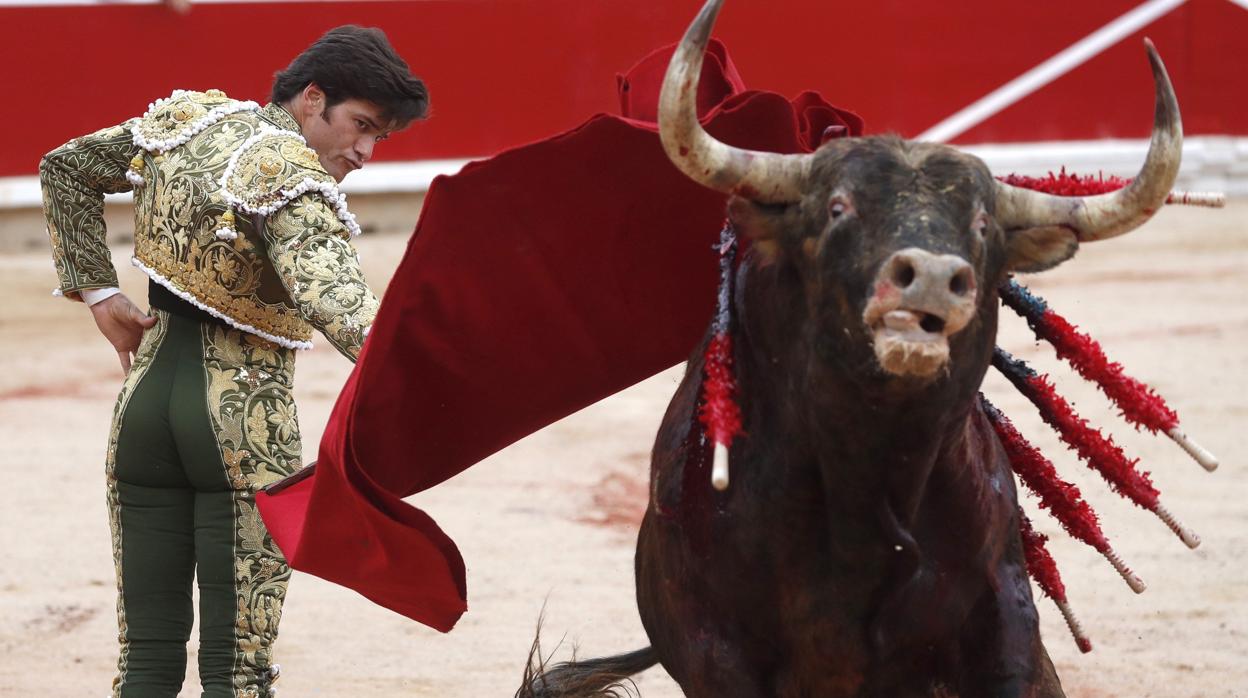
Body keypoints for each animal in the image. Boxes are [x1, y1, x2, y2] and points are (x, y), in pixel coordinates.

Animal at [519, 0, 1188, 694]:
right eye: (837, 209)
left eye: (982, 225)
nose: (931, 276)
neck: (869, 465)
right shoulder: (715, 651)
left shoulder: (1003, 610)